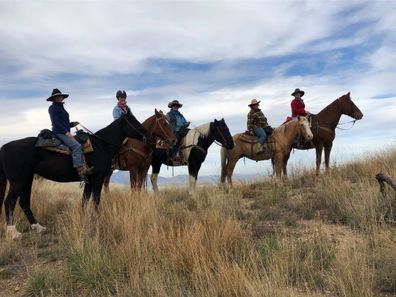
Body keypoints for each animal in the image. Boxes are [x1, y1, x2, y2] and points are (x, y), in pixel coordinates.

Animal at [0, 112, 151, 238]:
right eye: (134, 121)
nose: (149, 136)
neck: (101, 145)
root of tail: (4, 147)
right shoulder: (98, 179)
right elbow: (96, 200)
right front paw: (97, 219)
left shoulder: (89, 180)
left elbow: (85, 200)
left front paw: (84, 218)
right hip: (18, 181)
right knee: (9, 201)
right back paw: (13, 232)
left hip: (27, 179)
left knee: (24, 202)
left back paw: (38, 227)